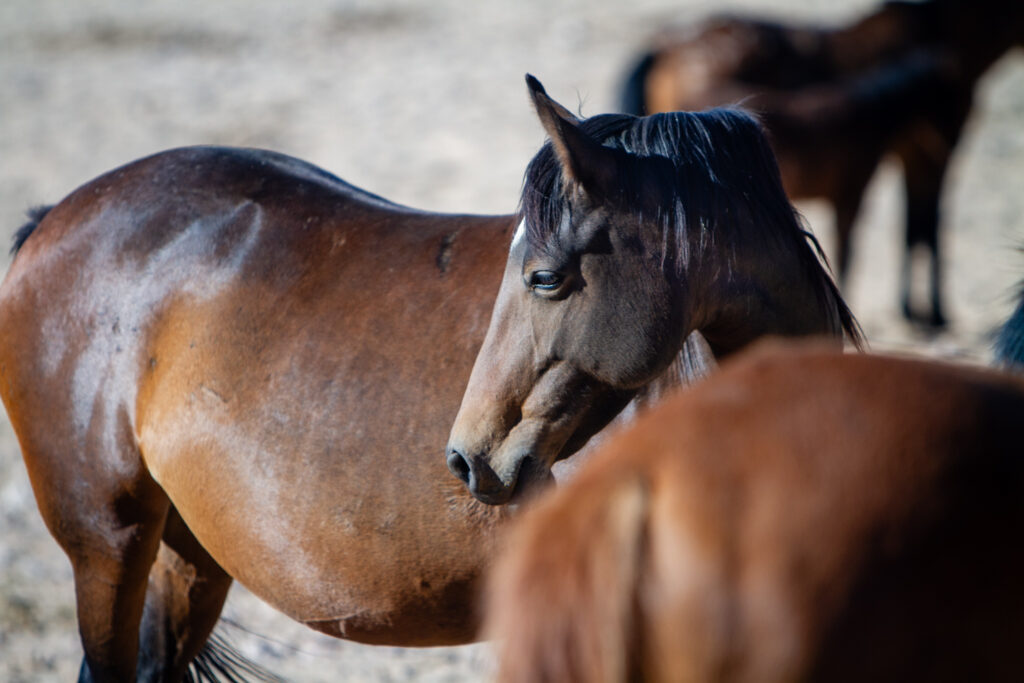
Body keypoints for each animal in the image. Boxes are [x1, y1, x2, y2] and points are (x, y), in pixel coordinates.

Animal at [621, 0, 1024, 328]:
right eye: (944, 96)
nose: (957, 118)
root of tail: (667, 44)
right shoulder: (896, 169)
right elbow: (920, 229)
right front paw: (931, 314)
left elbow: (915, 228)